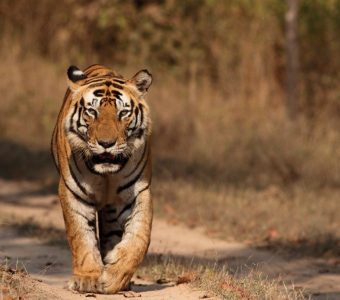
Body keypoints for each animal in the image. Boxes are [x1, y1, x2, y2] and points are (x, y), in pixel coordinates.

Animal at [51, 63, 153, 292]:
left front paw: (115, 277)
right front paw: (88, 278)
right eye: (92, 111)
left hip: (112, 211)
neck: (106, 174)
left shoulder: (137, 194)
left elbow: (139, 238)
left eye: (123, 113)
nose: (106, 143)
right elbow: (81, 237)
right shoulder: (73, 194)